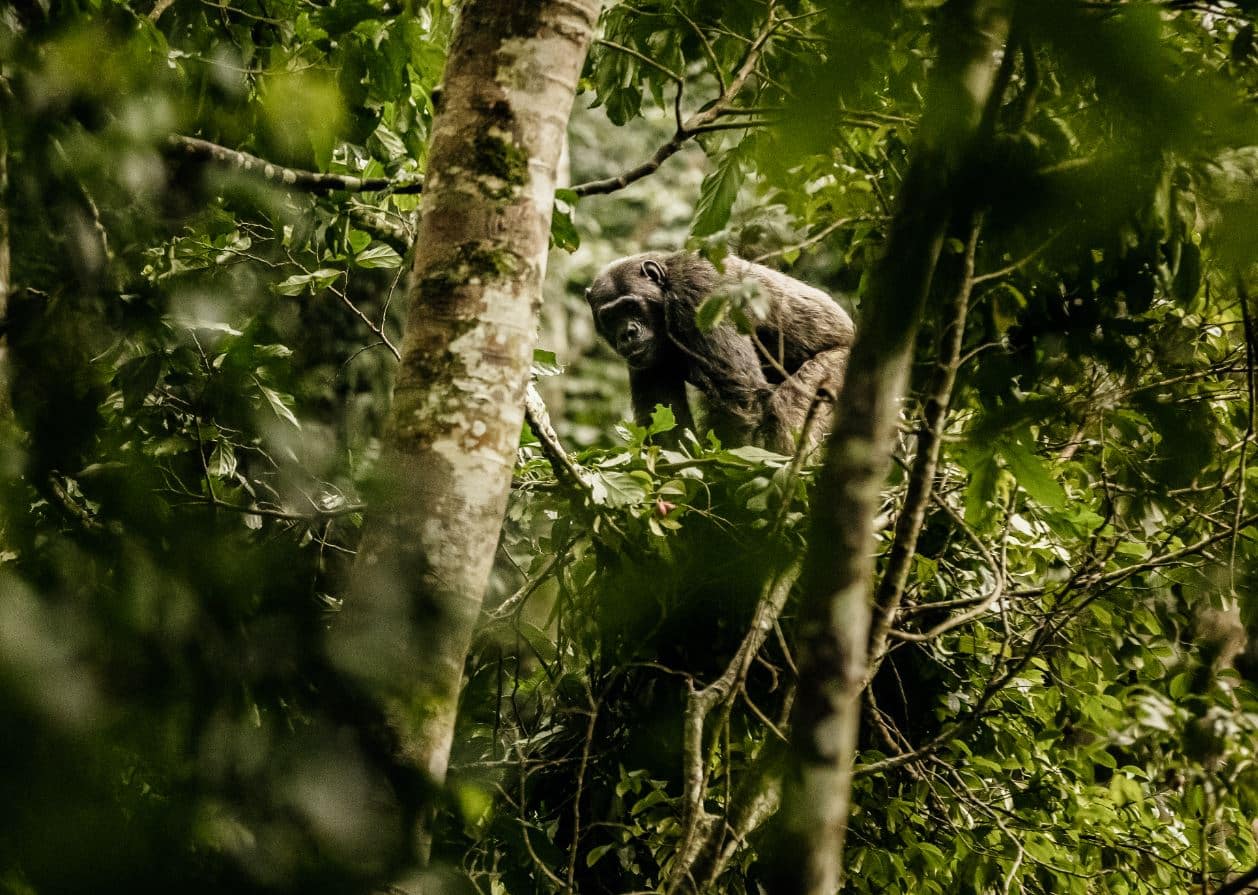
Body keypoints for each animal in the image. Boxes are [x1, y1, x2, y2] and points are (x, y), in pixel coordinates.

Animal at [586, 251, 855, 450]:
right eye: (610, 317)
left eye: (630, 306)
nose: (627, 333)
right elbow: (664, 420)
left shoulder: (698, 293)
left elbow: (738, 395)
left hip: (838, 365)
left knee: (789, 407)